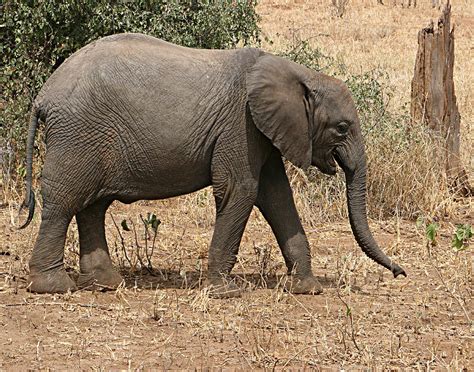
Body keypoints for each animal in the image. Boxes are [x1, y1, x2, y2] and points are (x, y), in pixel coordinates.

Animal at [18, 33, 406, 298]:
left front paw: (308, 289)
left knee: (93, 206)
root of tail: (43, 95)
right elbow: (241, 189)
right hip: (78, 134)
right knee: (65, 202)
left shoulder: (262, 132)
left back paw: (107, 284)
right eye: (341, 127)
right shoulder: (241, 124)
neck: (295, 72)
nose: (400, 274)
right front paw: (225, 292)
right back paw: (54, 286)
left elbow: (277, 197)